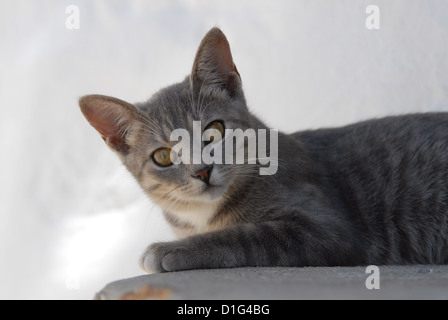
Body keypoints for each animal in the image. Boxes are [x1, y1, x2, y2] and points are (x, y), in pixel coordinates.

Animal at [79, 26, 448, 272]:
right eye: (163, 156)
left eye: (214, 131)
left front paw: (171, 250)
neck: (203, 218)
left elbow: (245, 237)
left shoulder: (328, 229)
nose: (202, 170)